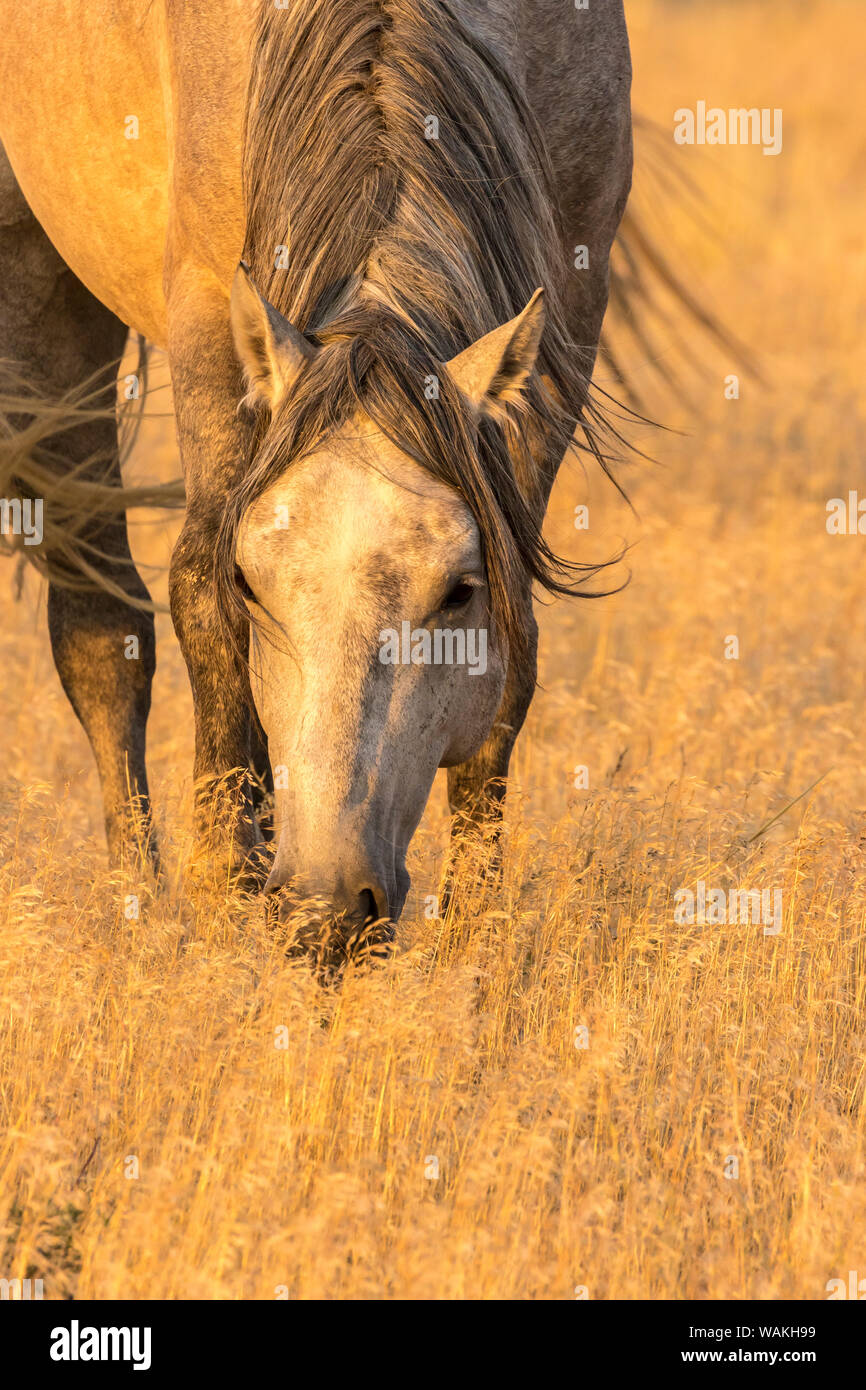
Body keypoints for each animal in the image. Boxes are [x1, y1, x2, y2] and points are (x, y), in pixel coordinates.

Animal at [0, 0, 633, 956]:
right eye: (252, 585)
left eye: (457, 592)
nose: (326, 909)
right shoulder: (210, 314)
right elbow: (197, 601)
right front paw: (225, 904)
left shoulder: (566, 329)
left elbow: (515, 641)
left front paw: (477, 947)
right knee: (101, 635)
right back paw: (139, 907)